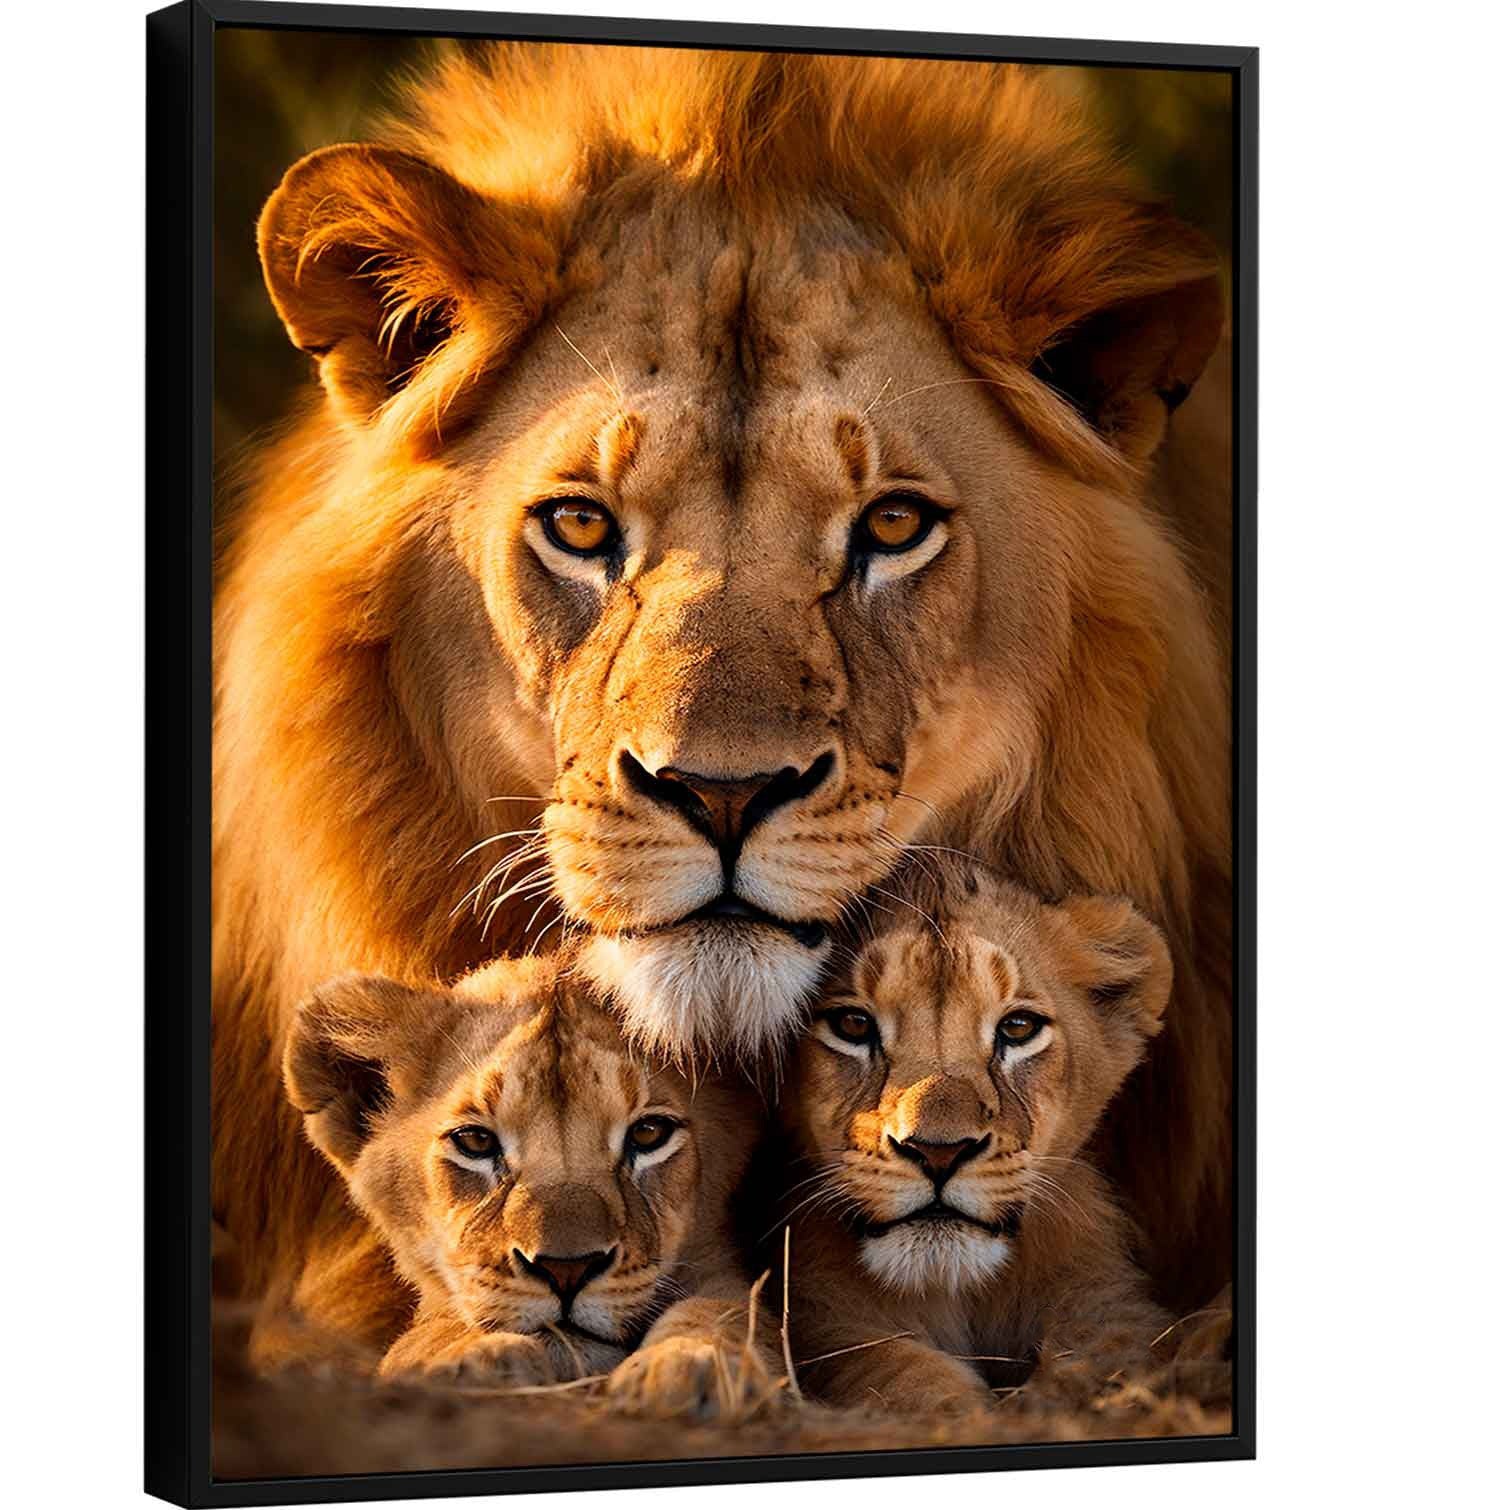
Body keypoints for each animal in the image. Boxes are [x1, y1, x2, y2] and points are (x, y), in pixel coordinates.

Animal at [283, 953, 780, 1411]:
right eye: (475, 1141)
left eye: (648, 1133)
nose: (566, 1270)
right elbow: (427, 1333)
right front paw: (474, 1360)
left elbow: (729, 1312)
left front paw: (692, 1364)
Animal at [779, 863, 1174, 1410]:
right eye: (853, 1024)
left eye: (1019, 1027)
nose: (937, 1152)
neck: (957, 1290)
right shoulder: (825, 1319)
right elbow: (898, 1374)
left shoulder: (1104, 1298)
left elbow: (1099, 1356)